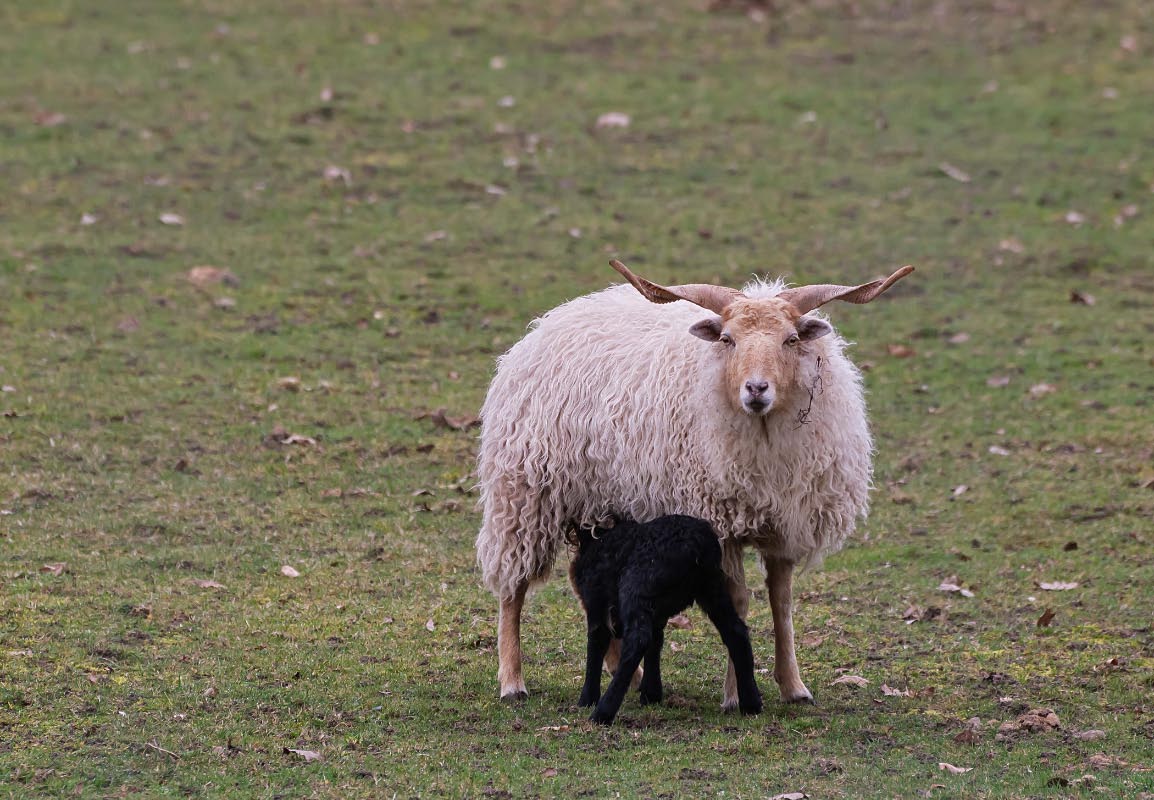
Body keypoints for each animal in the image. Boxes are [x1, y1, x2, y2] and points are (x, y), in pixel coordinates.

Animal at [568, 515, 763, 725]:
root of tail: (697, 543)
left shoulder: (596, 602)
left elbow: (595, 646)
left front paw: (587, 699)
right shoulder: (657, 613)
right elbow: (656, 642)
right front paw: (651, 694)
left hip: (636, 584)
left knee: (637, 639)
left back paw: (603, 712)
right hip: (712, 588)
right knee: (736, 632)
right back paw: (751, 704)